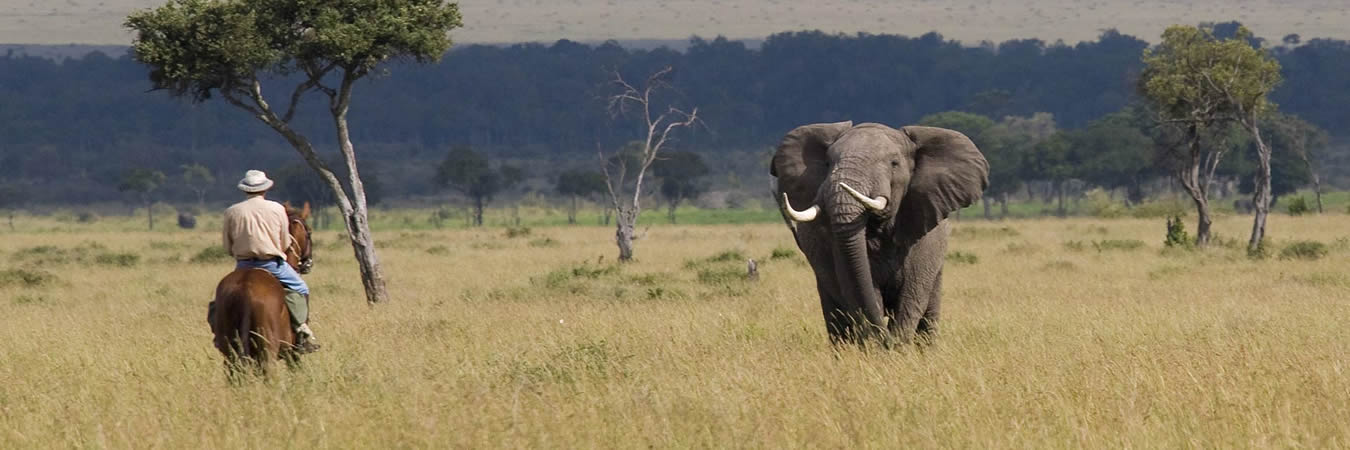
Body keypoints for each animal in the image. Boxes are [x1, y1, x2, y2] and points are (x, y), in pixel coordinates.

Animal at [206, 201, 314, 372]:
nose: (308, 263)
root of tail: (245, 288)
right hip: (267, 350)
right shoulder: (292, 353)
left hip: (230, 353)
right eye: (309, 232)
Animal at [772, 120, 993, 341]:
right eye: (827, 163)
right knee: (836, 315)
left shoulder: (924, 239)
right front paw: (879, 343)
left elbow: (910, 297)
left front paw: (897, 344)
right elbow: (865, 291)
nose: (886, 341)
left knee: (929, 311)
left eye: (894, 163)